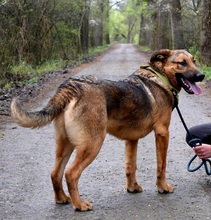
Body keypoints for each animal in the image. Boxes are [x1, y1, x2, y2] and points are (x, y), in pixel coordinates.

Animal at [10, 49, 204, 211]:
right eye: (182, 63)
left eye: (194, 61)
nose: (201, 75)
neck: (160, 77)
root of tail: (71, 86)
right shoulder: (163, 133)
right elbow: (161, 166)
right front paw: (163, 188)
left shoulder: (131, 140)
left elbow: (131, 167)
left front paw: (132, 188)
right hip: (92, 145)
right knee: (71, 174)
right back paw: (79, 205)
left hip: (65, 145)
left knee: (55, 173)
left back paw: (62, 198)